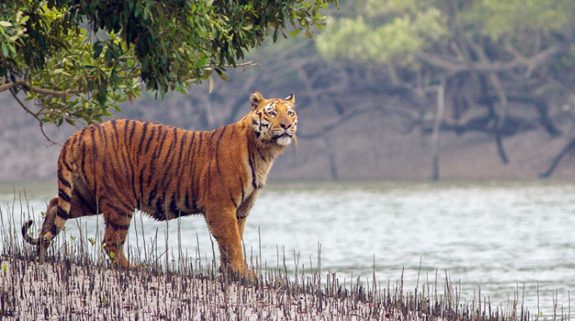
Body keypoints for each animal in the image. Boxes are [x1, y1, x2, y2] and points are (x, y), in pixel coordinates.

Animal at [20, 90, 300, 278]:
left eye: (290, 112)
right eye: (272, 112)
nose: (286, 125)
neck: (264, 151)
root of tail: (80, 133)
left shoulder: (240, 210)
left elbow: (232, 242)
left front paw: (231, 273)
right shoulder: (221, 206)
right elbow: (232, 242)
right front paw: (243, 274)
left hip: (88, 196)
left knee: (55, 205)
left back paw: (42, 251)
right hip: (120, 200)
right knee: (111, 242)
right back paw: (134, 267)